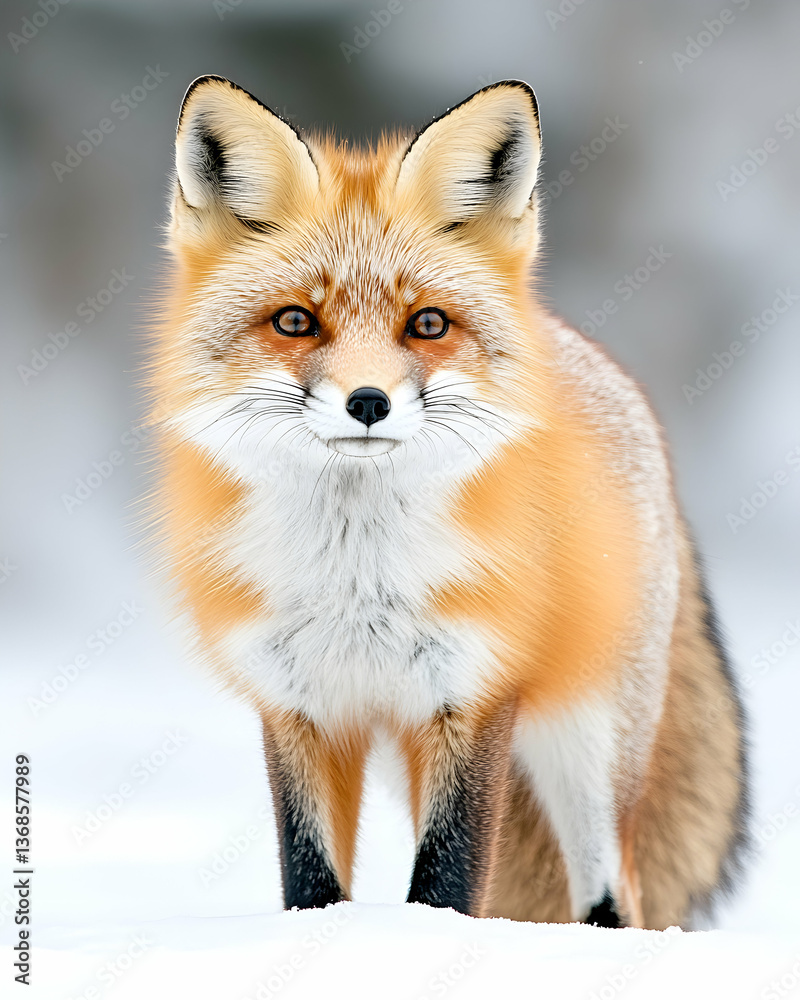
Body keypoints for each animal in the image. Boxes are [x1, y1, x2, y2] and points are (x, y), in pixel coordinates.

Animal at [149, 75, 750, 929]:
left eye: (426, 323)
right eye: (296, 321)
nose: (368, 402)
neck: (357, 580)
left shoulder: (473, 695)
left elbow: (449, 878)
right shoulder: (299, 705)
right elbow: (311, 879)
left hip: (588, 741)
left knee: (613, 890)